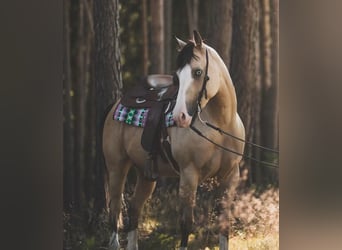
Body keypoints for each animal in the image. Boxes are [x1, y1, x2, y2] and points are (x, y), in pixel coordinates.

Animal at [103, 30, 244, 249]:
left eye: (197, 72)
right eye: (177, 77)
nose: (180, 117)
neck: (221, 127)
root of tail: (116, 105)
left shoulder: (230, 176)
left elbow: (224, 224)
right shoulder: (188, 175)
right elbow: (186, 225)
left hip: (145, 174)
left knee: (134, 209)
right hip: (117, 167)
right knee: (115, 209)